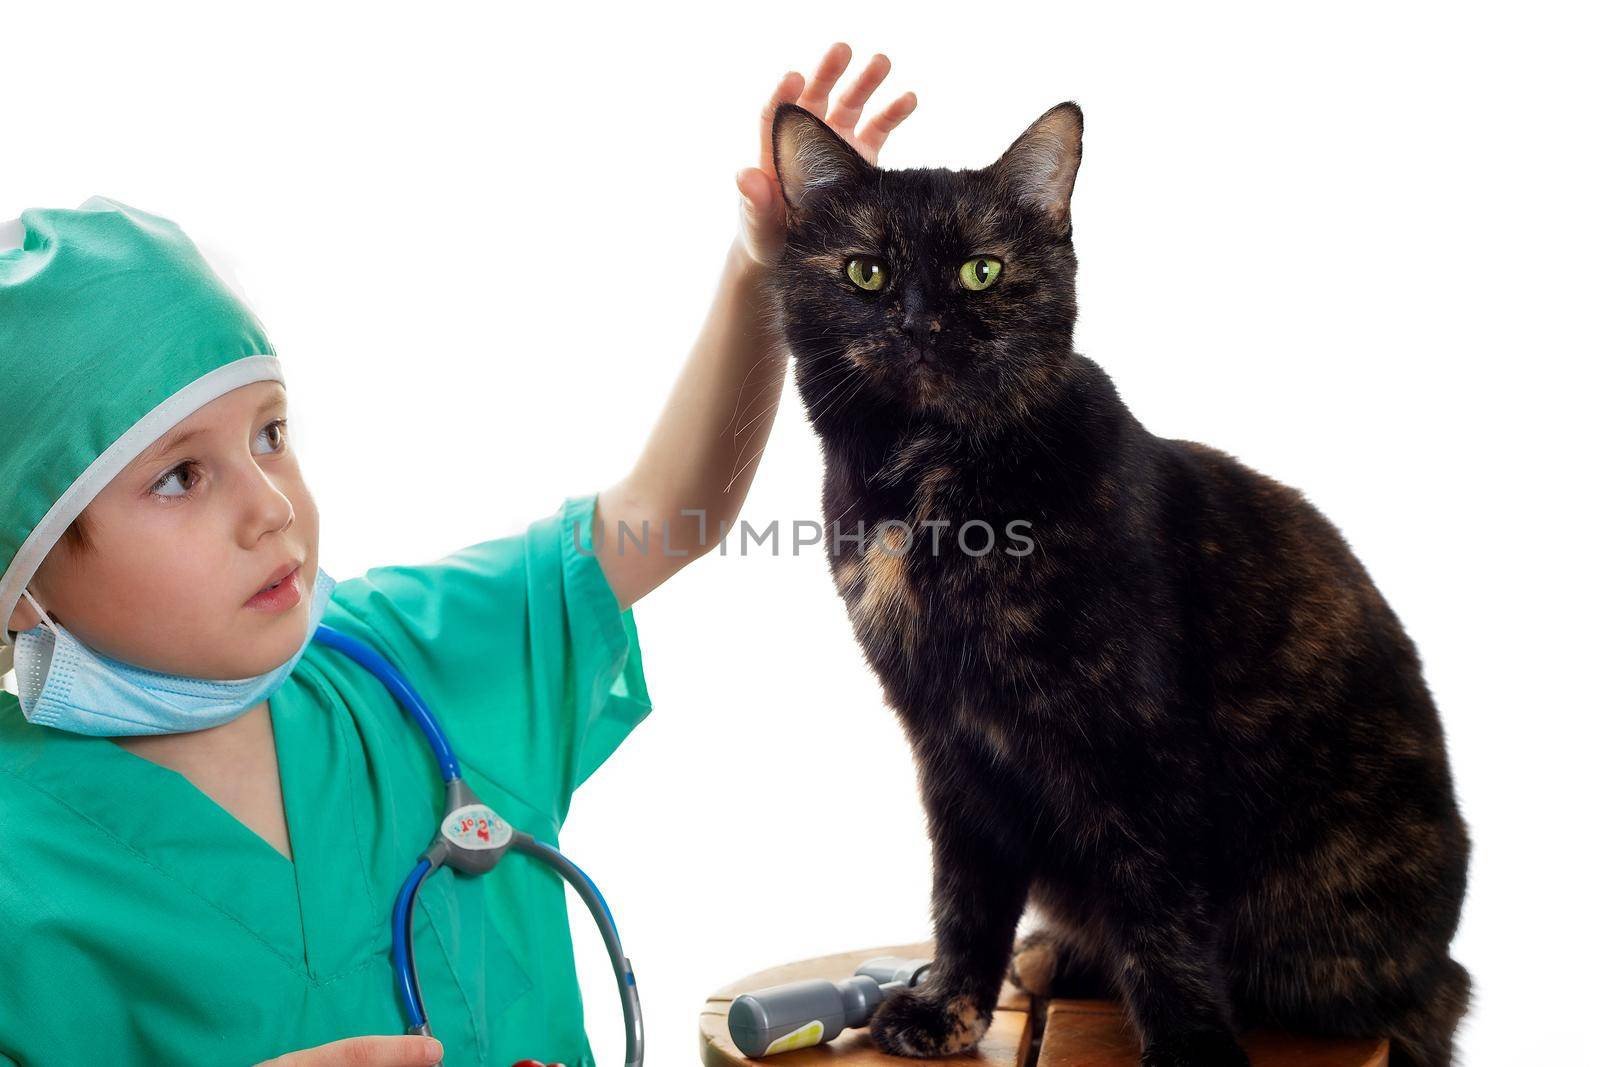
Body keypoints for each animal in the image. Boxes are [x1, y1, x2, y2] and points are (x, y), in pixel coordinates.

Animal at [768, 102, 1465, 1067]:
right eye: (866, 272)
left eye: (982, 270)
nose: (919, 324)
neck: (930, 480)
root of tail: (1443, 970)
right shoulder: (950, 742)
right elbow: (965, 894)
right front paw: (948, 1008)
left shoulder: (1133, 740)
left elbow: (1157, 908)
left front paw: (1191, 1047)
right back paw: (1052, 955)